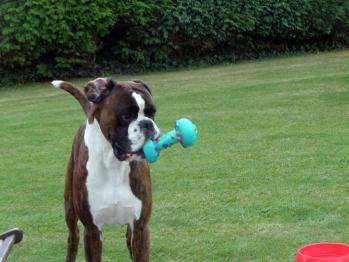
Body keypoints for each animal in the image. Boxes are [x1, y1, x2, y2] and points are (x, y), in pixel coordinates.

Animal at [51, 78, 160, 262]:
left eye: (152, 114)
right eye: (126, 116)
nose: (147, 124)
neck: (113, 164)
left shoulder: (140, 228)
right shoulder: (92, 231)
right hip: (70, 209)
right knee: (73, 237)